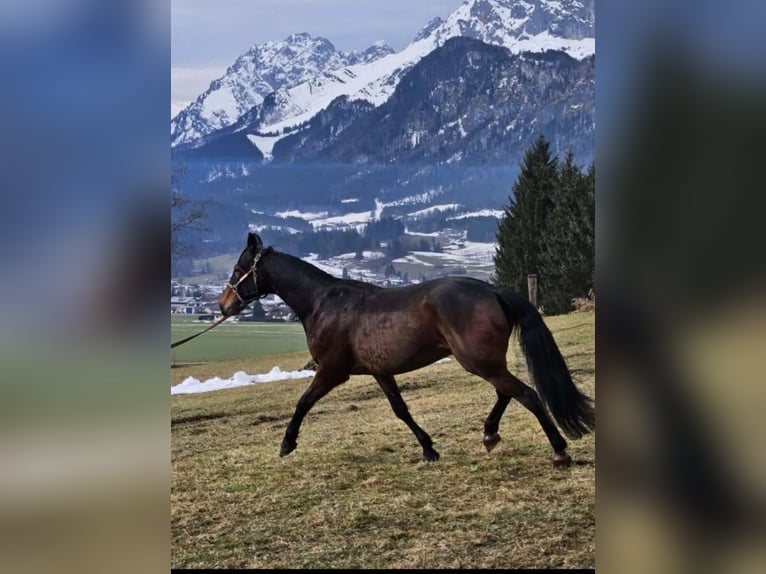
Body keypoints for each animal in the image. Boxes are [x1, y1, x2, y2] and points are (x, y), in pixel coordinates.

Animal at [219, 233, 596, 468]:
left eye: (238, 269)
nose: (223, 305)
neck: (323, 303)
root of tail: (492, 291)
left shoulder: (331, 371)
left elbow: (302, 402)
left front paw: (287, 444)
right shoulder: (380, 372)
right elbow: (400, 410)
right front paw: (429, 449)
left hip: (478, 361)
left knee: (527, 394)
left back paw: (559, 452)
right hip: (485, 361)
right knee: (507, 393)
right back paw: (490, 434)